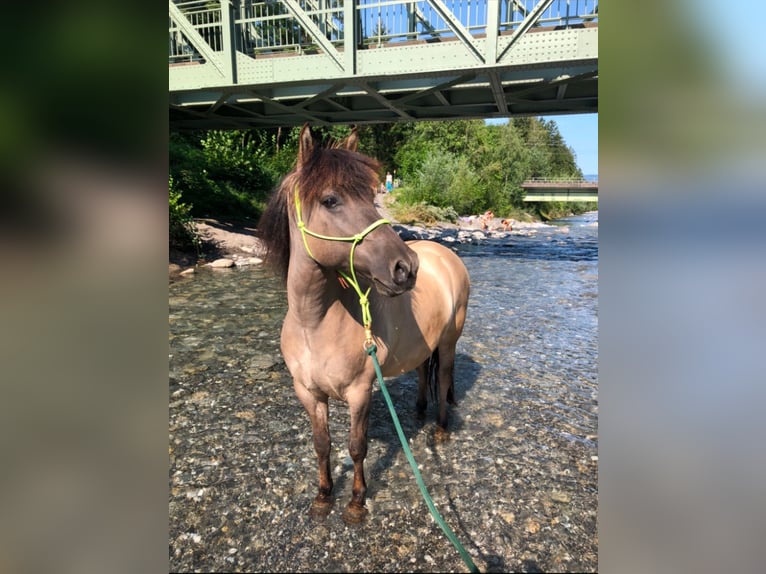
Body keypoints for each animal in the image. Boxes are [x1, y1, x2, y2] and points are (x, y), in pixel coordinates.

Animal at [258, 126, 472, 528]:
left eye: (372, 196)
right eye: (330, 200)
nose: (406, 268)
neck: (315, 324)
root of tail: (444, 254)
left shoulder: (360, 392)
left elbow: (357, 447)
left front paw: (356, 504)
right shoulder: (309, 393)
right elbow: (321, 444)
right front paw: (323, 497)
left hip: (450, 342)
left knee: (445, 377)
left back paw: (439, 429)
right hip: (424, 344)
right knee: (424, 371)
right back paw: (418, 411)